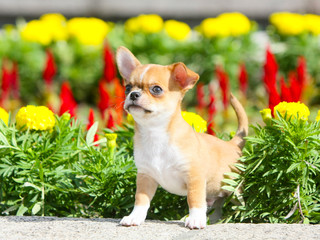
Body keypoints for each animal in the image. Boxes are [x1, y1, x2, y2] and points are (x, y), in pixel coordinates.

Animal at [116, 46, 249, 229]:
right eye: (128, 87)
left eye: (156, 89)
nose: (133, 94)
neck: (155, 134)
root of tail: (232, 144)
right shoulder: (145, 177)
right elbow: (141, 200)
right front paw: (134, 217)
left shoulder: (194, 177)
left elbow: (194, 199)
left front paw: (195, 220)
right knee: (216, 208)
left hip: (235, 190)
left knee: (237, 204)